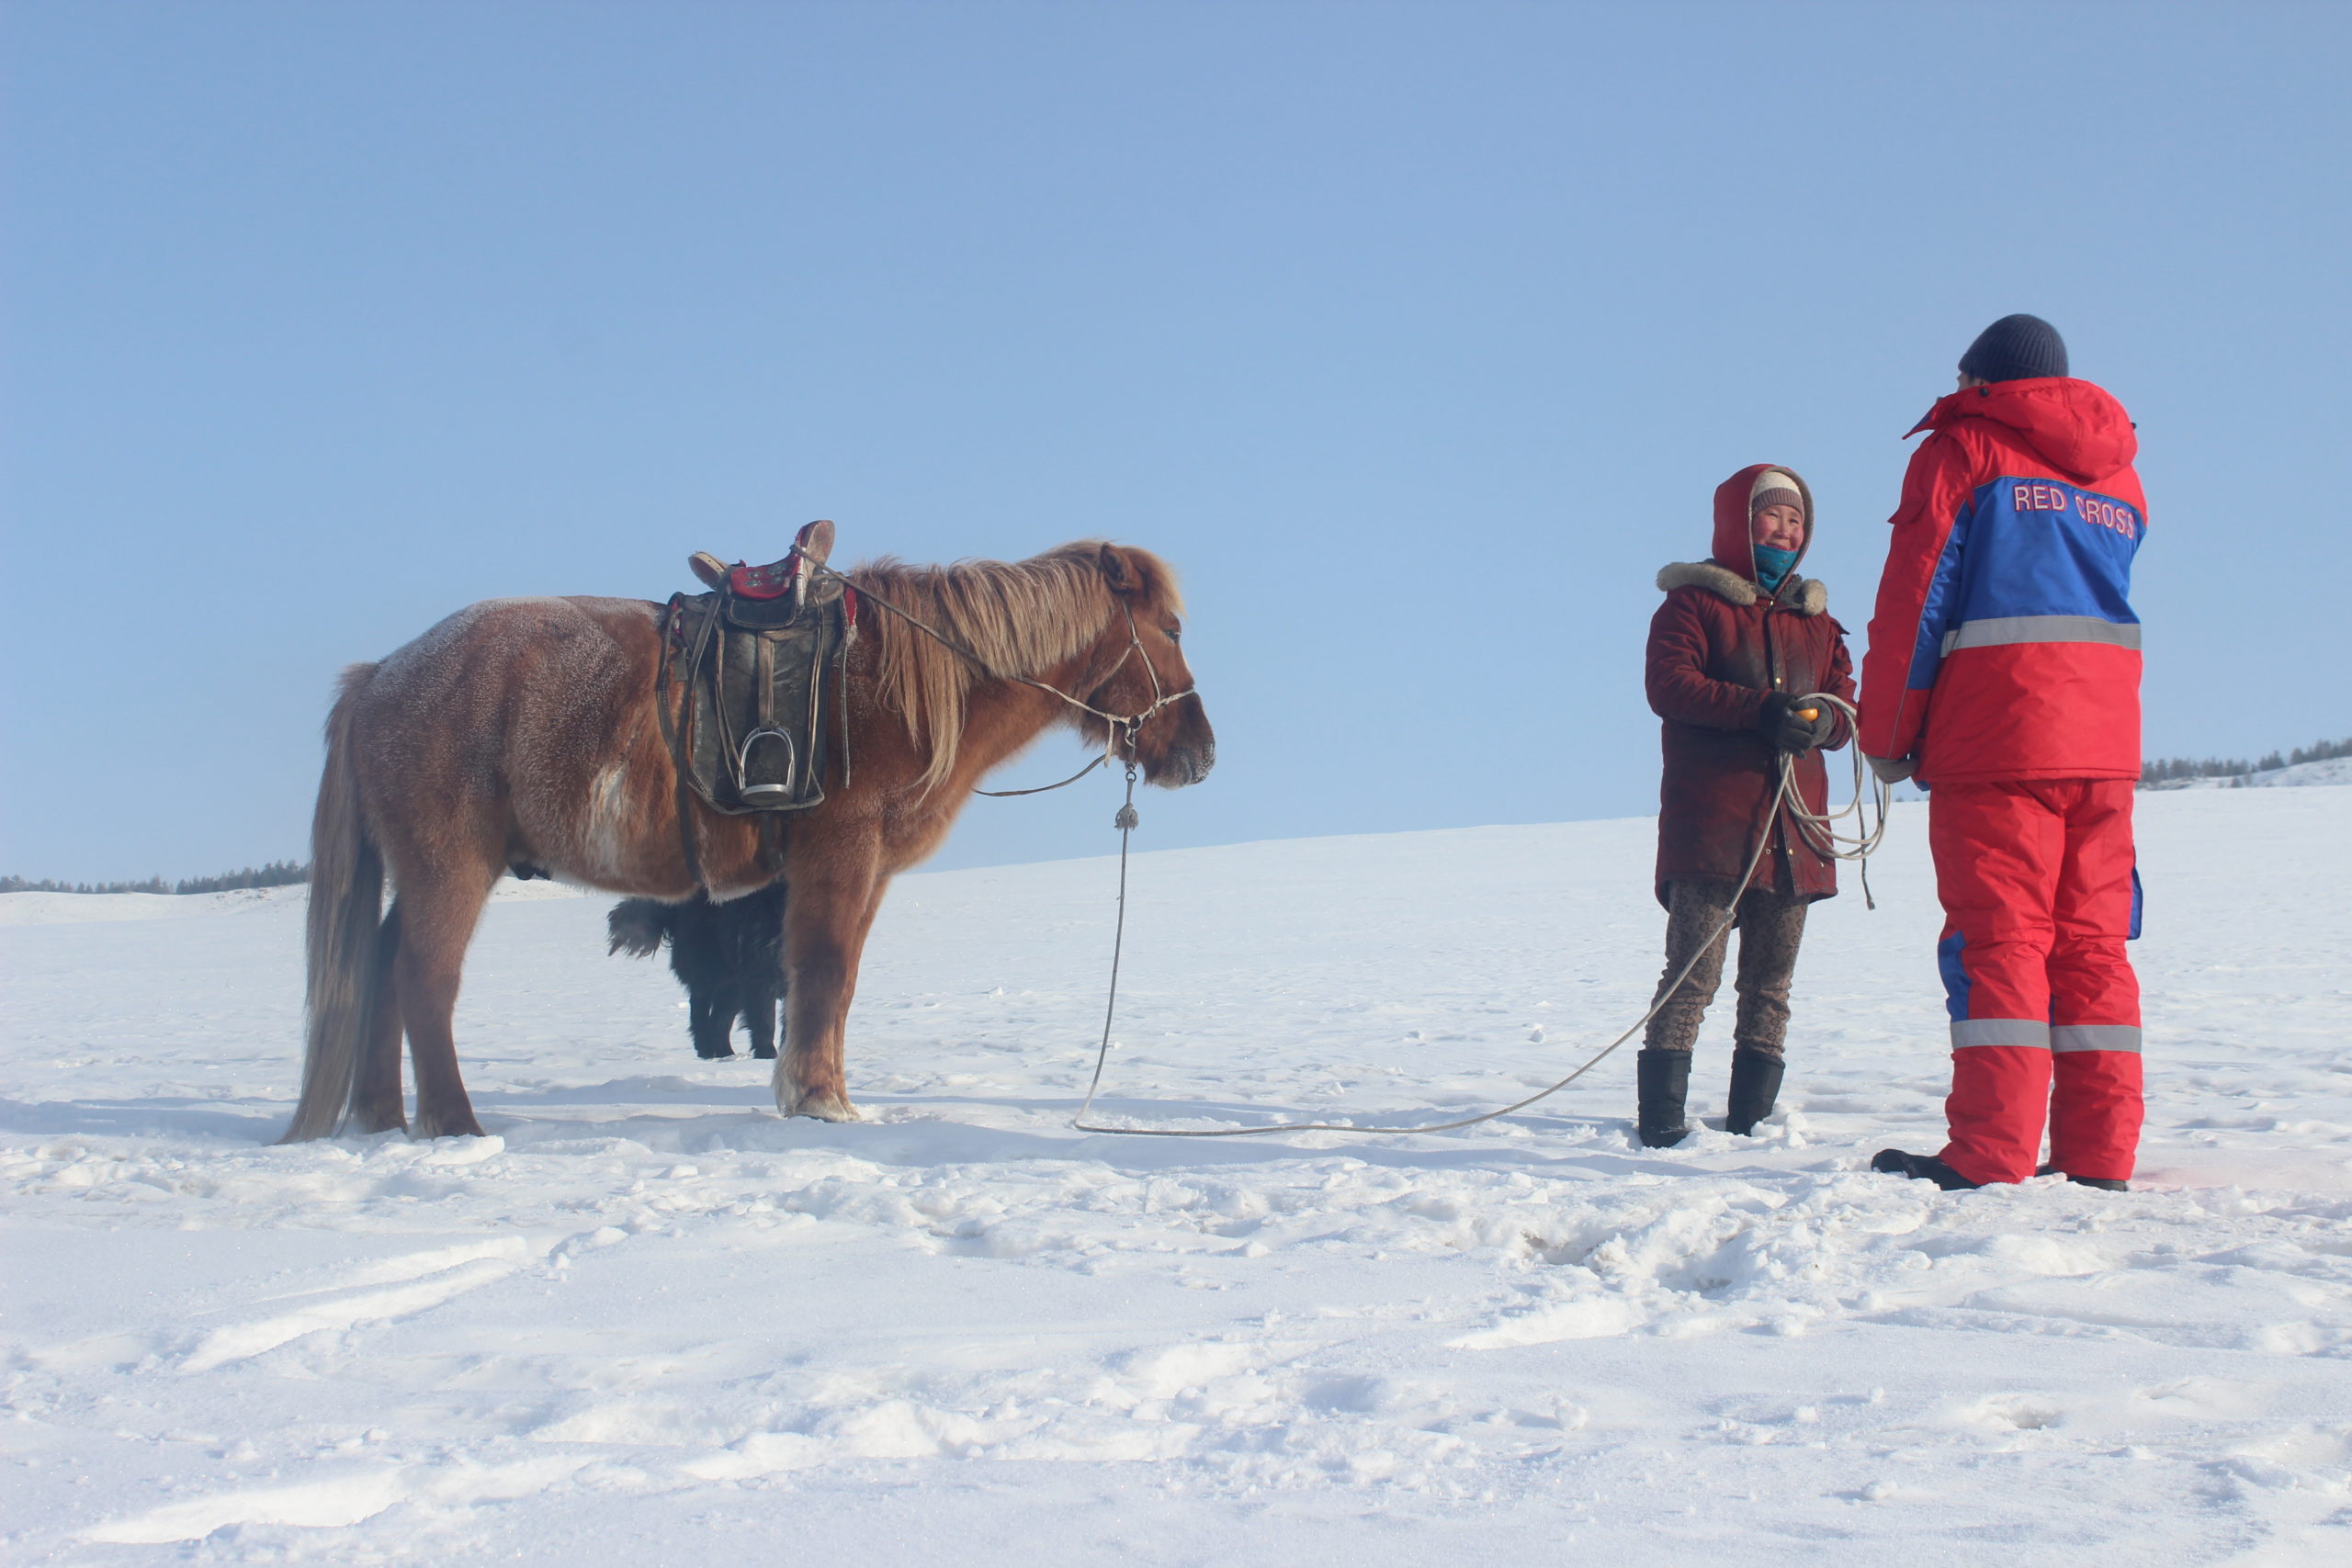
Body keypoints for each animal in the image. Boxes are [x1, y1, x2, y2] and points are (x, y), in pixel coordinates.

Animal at [279, 540, 1213, 1142]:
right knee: (423, 979)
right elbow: (824, 975)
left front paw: (824, 1092)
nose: (1200, 751)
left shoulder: (861, 875)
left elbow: (831, 985)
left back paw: (380, 1116)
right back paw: (453, 1122)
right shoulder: (840, 856)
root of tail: (380, 677)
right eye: (1170, 629)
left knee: (380, 966)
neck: (898, 685)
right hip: (450, 867)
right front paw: (820, 1100)